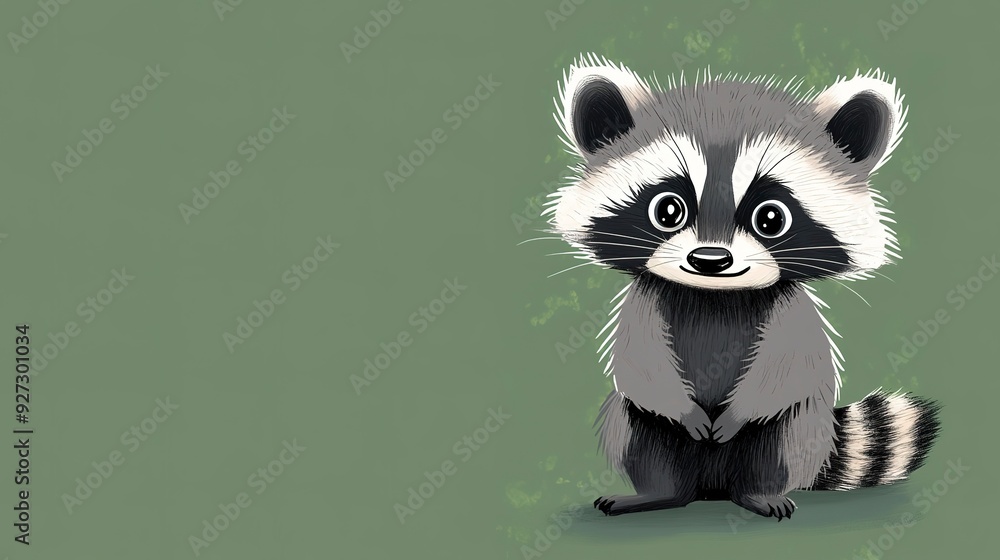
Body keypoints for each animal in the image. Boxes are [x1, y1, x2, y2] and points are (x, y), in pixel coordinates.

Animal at [543, 54, 941, 519]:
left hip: (805, 431)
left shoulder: (789, 309)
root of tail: (712, 487)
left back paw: (758, 493)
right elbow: (640, 361)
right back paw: (659, 493)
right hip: (649, 434)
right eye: (668, 210)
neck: (714, 295)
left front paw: (739, 414)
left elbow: (789, 365)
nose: (710, 261)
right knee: (635, 425)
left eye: (770, 218)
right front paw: (683, 409)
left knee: (784, 436)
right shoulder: (646, 299)